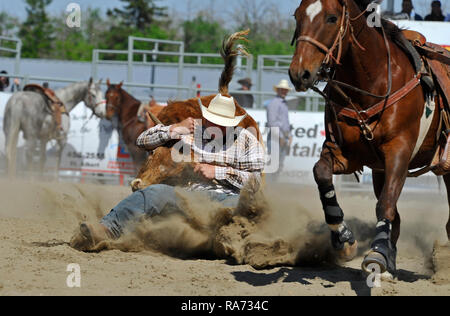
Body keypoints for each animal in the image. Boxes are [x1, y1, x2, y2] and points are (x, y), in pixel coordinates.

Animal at [288, 0, 450, 276]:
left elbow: (386, 203)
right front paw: (343, 237)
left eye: (332, 18)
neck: (372, 82)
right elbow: (321, 173)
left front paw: (378, 253)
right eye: (297, 16)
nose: (300, 73)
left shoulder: (399, 151)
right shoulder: (346, 154)